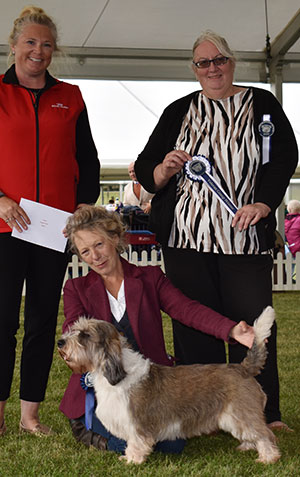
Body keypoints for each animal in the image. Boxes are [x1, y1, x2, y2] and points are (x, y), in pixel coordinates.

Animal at [57, 306, 280, 462]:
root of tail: (243, 368)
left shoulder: (136, 425)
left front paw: (131, 461)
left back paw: (268, 458)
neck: (117, 374)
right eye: (75, 329)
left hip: (242, 414)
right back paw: (248, 447)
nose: (60, 342)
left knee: (265, 434)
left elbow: (136, 443)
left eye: (85, 335)